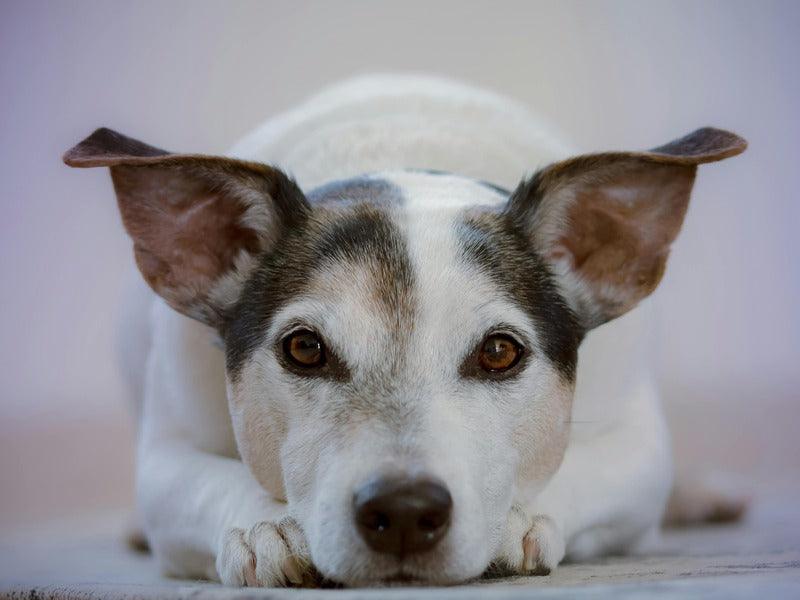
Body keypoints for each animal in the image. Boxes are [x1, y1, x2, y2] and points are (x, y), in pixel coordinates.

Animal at [65, 75, 748, 584]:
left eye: (500, 352)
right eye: (303, 348)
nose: (402, 510)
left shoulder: (638, 445)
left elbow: (583, 470)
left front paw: (516, 520)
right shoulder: (166, 453)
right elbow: (204, 482)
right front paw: (267, 526)